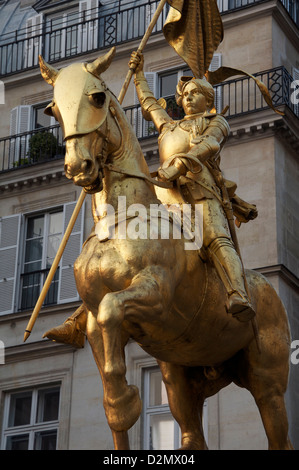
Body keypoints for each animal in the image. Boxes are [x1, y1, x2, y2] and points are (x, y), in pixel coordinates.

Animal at [39, 48, 292, 452]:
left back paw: (240, 301)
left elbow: (113, 309)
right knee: (191, 433)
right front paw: (120, 405)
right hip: (180, 375)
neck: (119, 222)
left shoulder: (155, 293)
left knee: (278, 434)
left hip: (268, 381)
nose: (78, 167)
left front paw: (127, 399)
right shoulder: (93, 321)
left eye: (97, 97)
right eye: (53, 109)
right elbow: (110, 385)